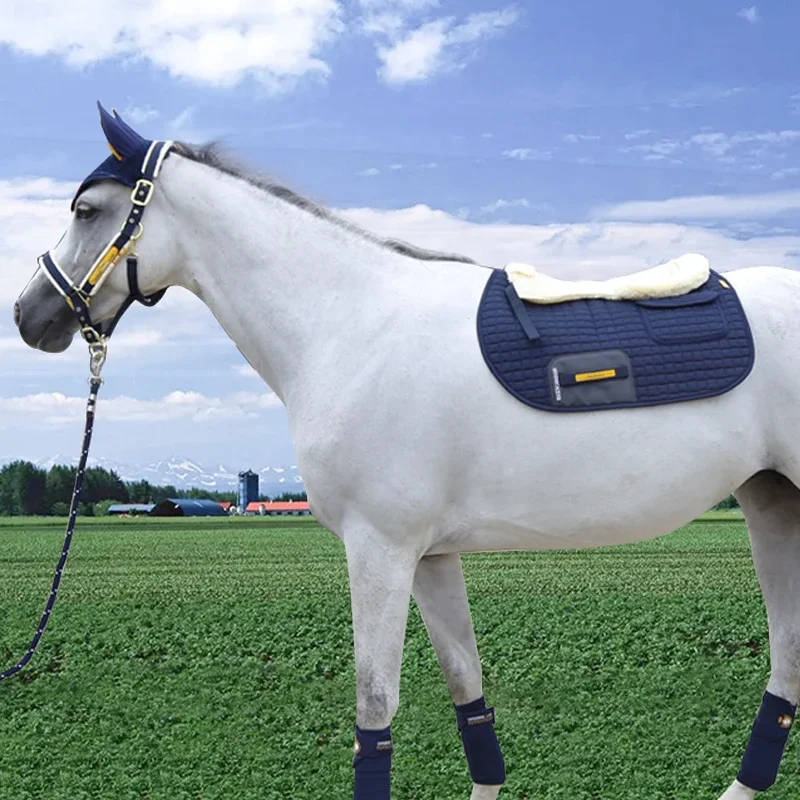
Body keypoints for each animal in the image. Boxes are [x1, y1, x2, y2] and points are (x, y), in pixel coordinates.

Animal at [13, 105, 800, 800]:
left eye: (87, 209)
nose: (27, 314)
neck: (351, 324)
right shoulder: (430, 555)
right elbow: (465, 687)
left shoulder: (379, 549)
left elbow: (375, 708)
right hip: (770, 502)